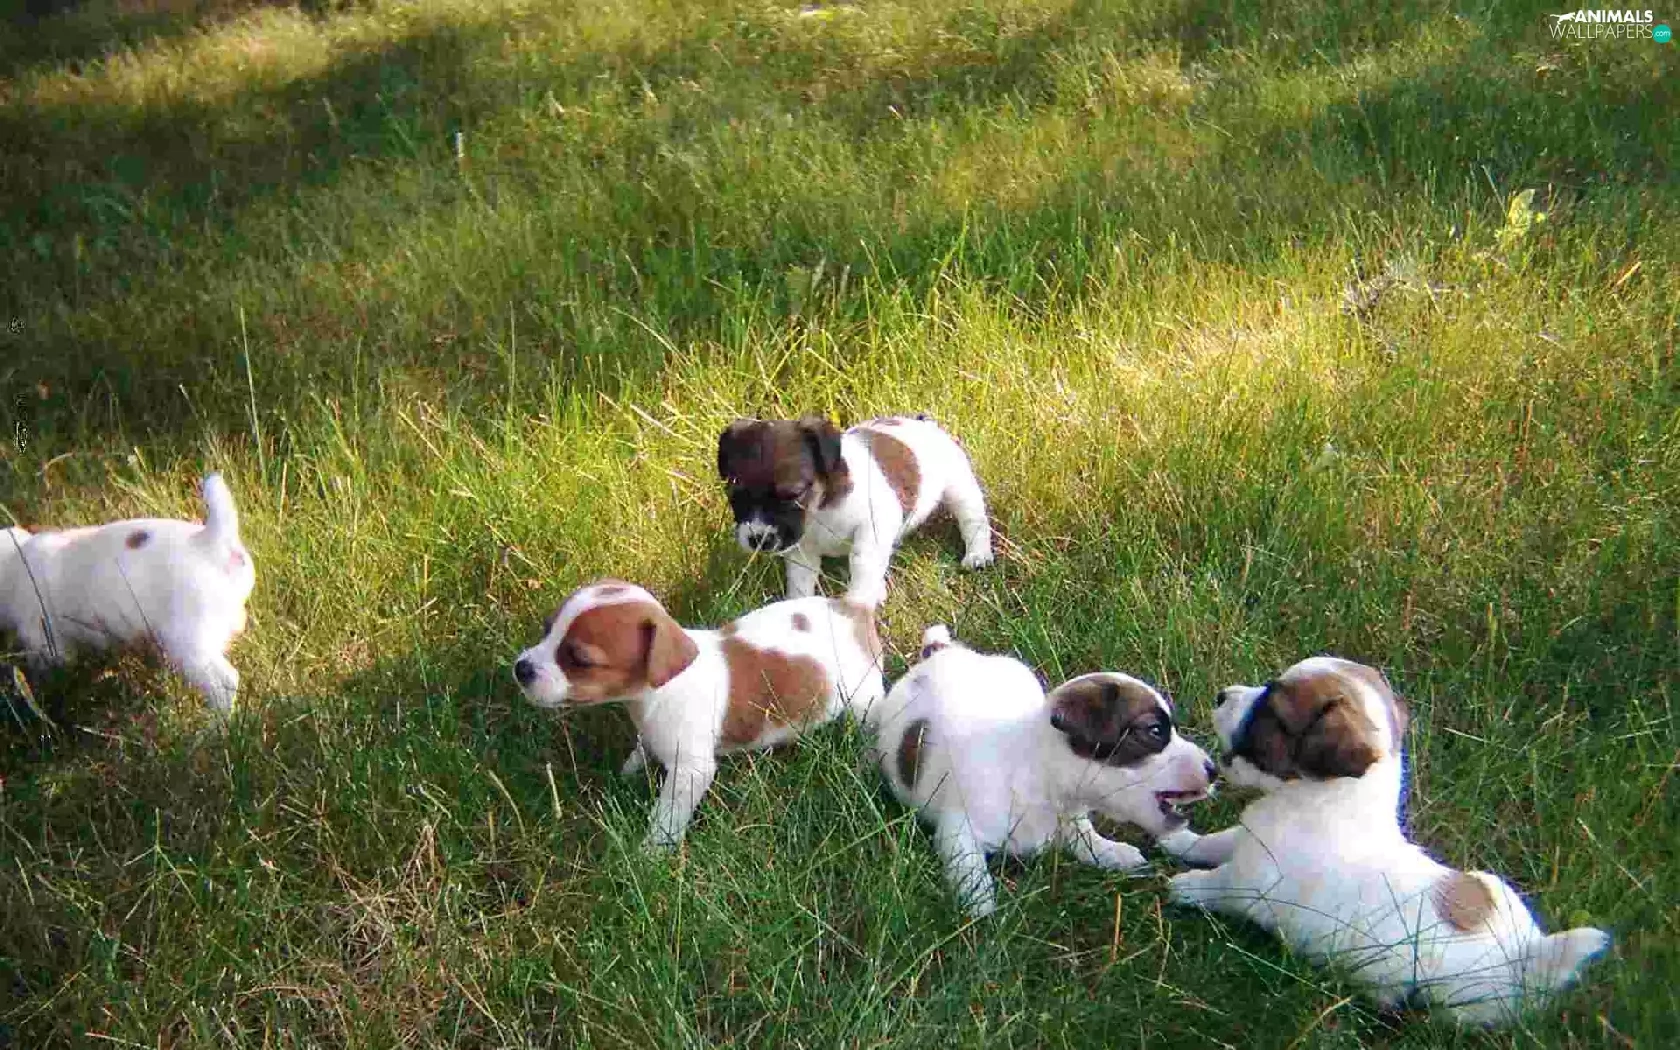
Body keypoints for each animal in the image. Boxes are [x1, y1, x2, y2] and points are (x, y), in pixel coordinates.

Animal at [513, 579, 885, 849]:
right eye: (547, 629)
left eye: (580, 659)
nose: (521, 669)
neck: (658, 692)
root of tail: (854, 607)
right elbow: (642, 747)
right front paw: (629, 771)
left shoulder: (690, 772)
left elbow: (667, 817)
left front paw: (651, 854)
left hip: (864, 701)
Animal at [716, 414, 992, 606]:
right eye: (734, 495)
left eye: (792, 494)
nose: (758, 539)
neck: (822, 509)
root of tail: (924, 423)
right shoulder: (802, 551)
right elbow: (800, 581)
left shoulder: (874, 525)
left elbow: (862, 564)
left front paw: (857, 603)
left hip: (960, 487)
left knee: (973, 521)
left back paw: (978, 554)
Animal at [870, 625, 1214, 918]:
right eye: (1155, 731)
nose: (1213, 769)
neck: (1037, 773)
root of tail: (938, 652)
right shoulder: (960, 831)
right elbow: (970, 871)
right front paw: (980, 908)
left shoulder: (1071, 816)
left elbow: (1084, 837)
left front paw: (1108, 851)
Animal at [1164, 656, 1611, 1025]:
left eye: (1270, 708)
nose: (1222, 695)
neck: (1329, 800)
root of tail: (1528, 956)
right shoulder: (1247, 840)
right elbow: (1217, 842)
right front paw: (1179, 842)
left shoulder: (1250, 883)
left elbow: (1217, 884)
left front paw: (1182, 886)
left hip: (1450, 1002)